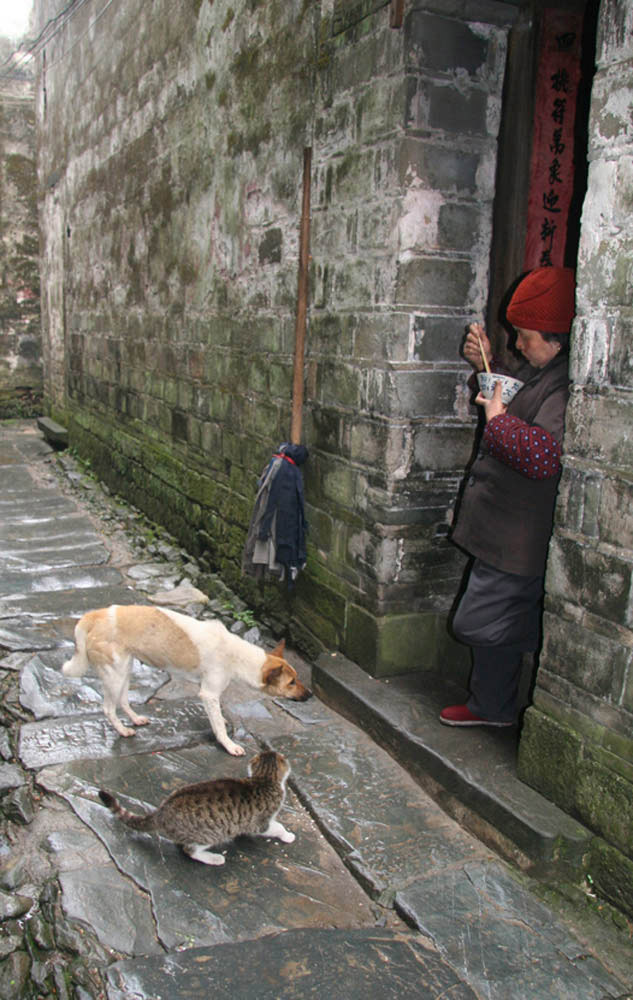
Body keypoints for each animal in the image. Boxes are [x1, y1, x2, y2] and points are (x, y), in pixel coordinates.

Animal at [61, 604, 312, 752]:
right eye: (291, 683)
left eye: (297, 678)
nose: (310, 695)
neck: (237, 655)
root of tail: (96, 615)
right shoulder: (208, 693)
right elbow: (219, 726)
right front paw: (229, 745)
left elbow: (218, 719)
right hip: (114, 674)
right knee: (108, 709)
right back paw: (123, 731)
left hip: (124, 669)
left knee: (122, 701)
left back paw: (135, 720)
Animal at [97, 748, 296, 864]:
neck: (264, 779)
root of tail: (161, 811)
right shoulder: (260, 823)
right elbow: (277, 827)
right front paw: (287, 835)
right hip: (209, 834)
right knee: (190, 850)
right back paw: (214, 858)